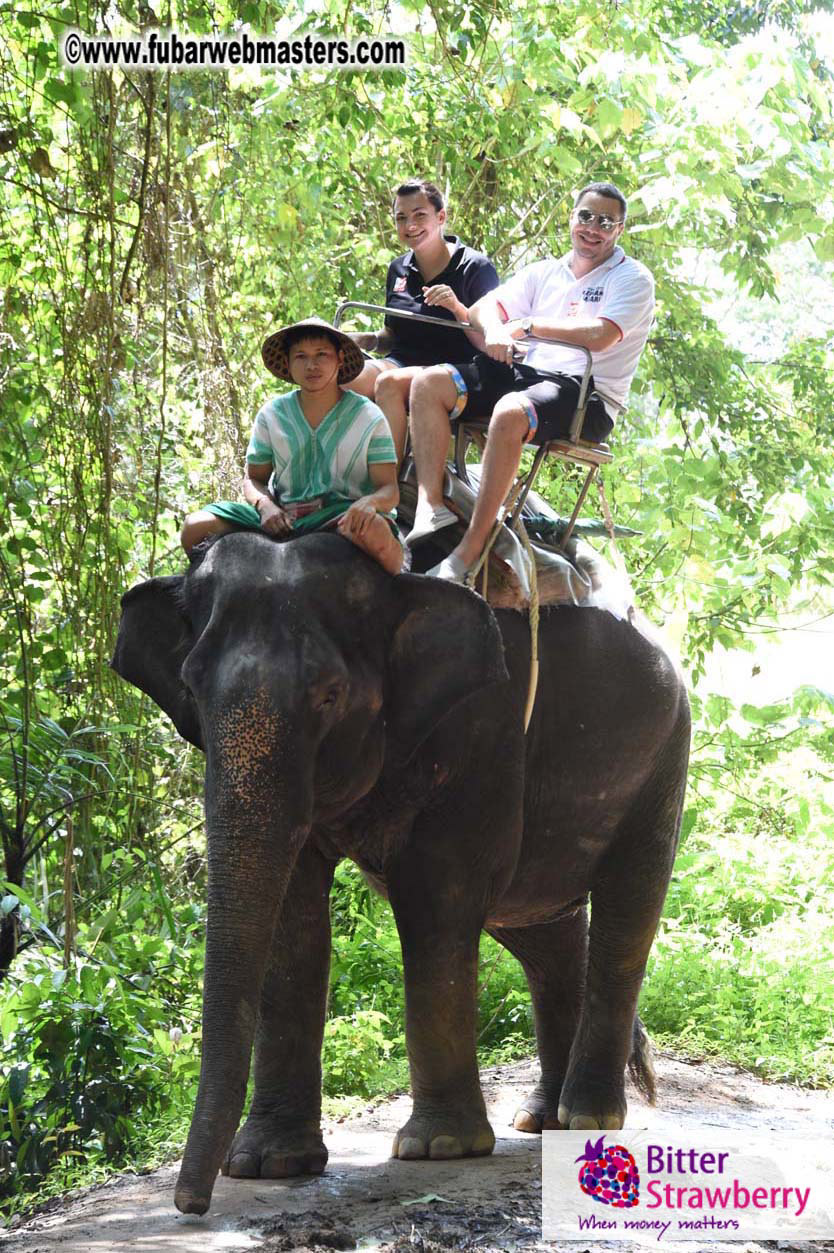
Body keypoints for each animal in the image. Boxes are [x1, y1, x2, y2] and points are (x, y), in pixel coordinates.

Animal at [111, 528, 690, 1216]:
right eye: (191, 689)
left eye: (329, 695)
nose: (191, 1206)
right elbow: (293, 918)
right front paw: (266, 1164)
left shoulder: (485, 728)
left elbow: (438, 896)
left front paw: (439, 1148)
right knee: (543, 933)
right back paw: (544, 1120)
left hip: (665, 755)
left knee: (626, 911)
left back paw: (588, 1120)